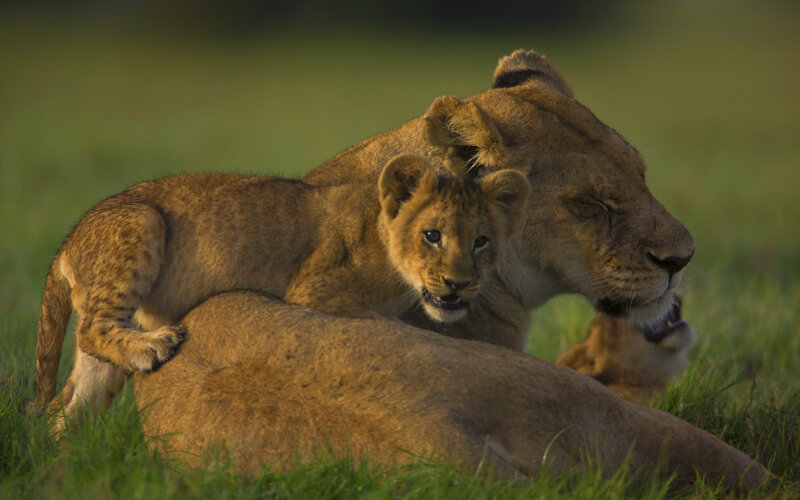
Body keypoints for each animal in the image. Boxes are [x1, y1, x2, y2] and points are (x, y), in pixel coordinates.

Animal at [29, 154, 528, 431]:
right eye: (432, 236)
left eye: (481, 241)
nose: (459, 284)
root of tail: (67, 241)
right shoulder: (314, 292)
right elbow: (383, 323)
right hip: (142, 221)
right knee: (92, 330)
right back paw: (153, 346)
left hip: (103, 357)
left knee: (66, 407)